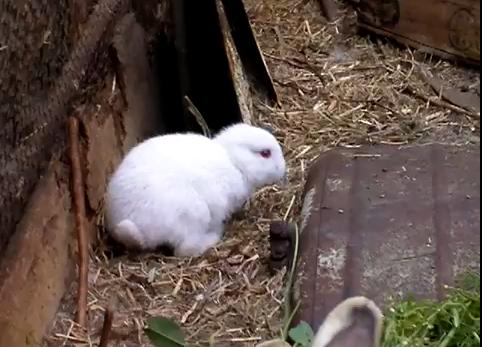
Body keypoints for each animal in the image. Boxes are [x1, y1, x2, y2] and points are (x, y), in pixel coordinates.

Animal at [102, 123, 284, 256]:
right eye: (265, 153)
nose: (283, 170)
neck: (234, 162)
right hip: (193, 215)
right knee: (184, 250)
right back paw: (214, 236)